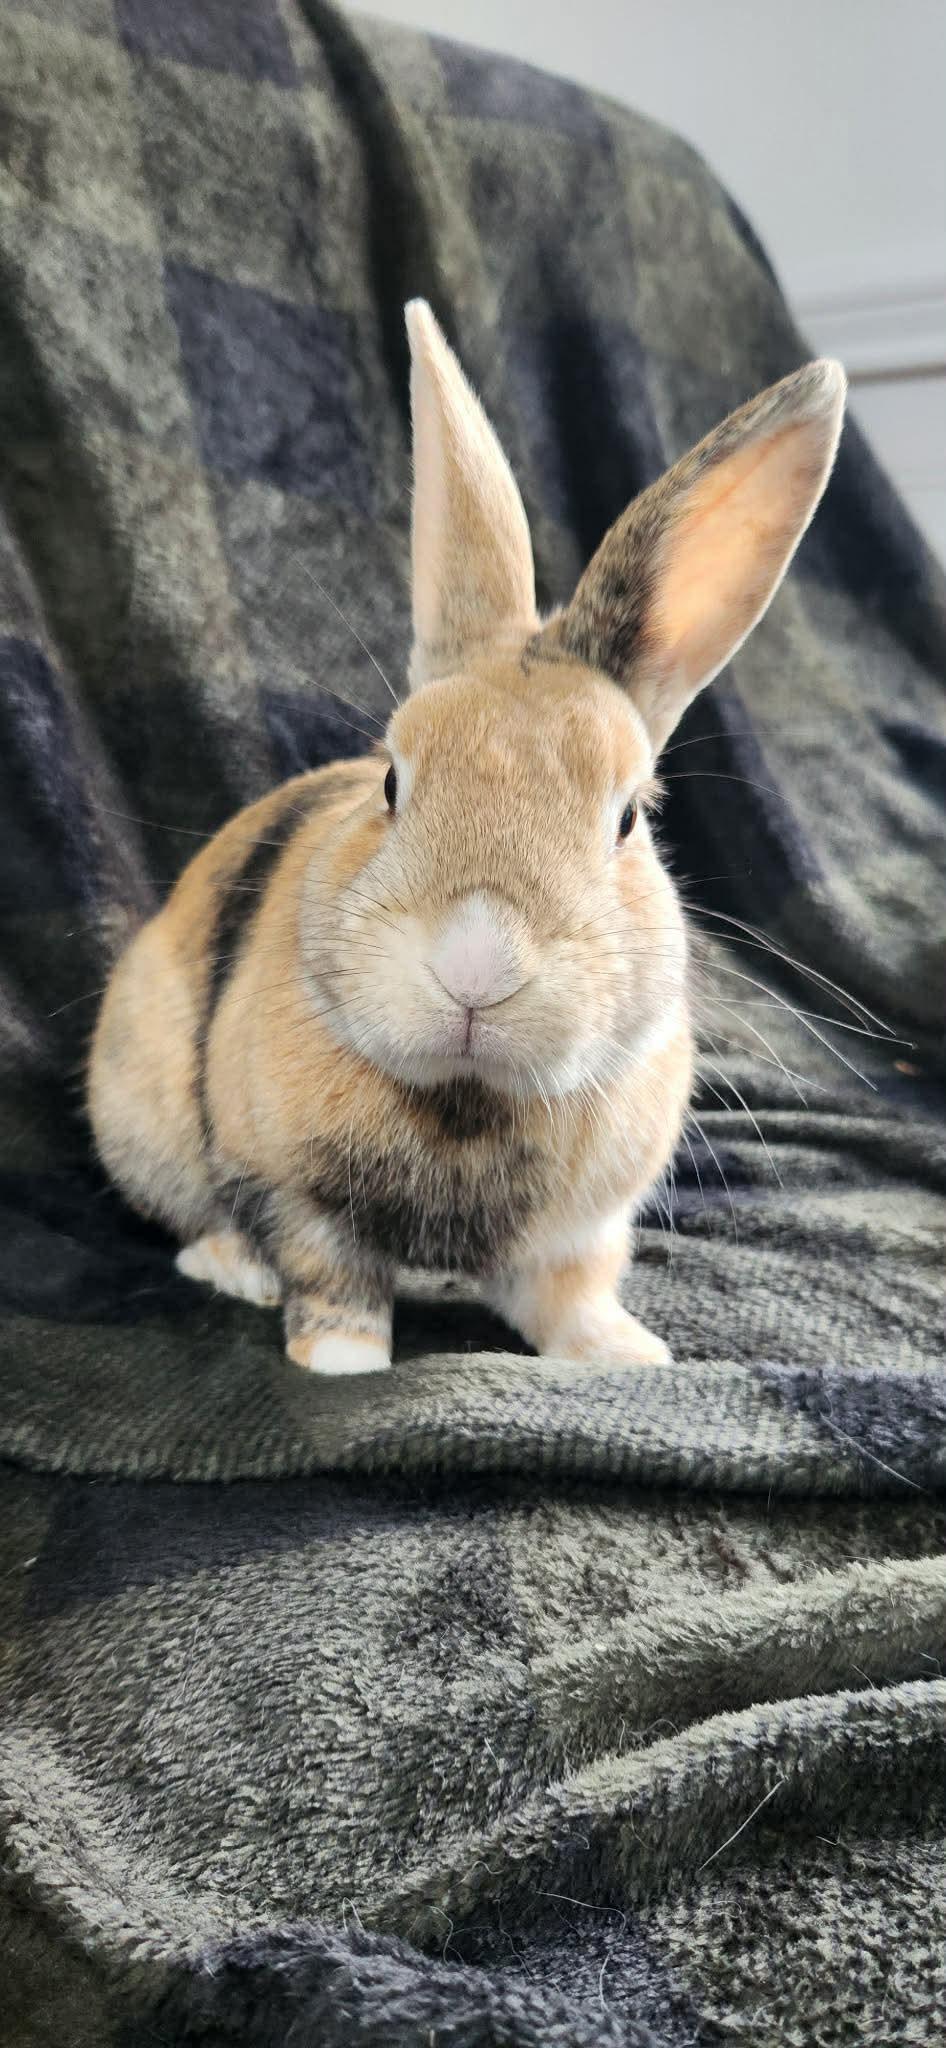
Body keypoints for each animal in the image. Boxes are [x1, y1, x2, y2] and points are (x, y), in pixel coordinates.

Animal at [88, 302, 845, 1376]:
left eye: (629, 816)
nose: (476, 968)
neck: (469, 1097)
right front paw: (342, 1365)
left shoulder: (582, 1231)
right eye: (391, 781)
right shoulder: (297, 1196)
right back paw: (230, 1270)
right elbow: (330, 1280)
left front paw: (627, 1355)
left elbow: (573, 1295)